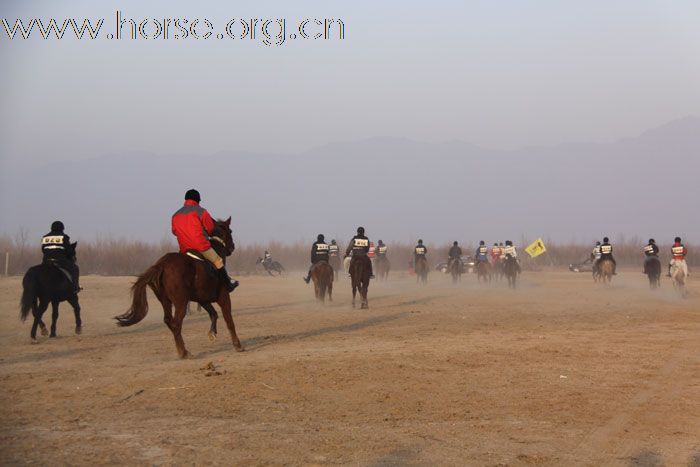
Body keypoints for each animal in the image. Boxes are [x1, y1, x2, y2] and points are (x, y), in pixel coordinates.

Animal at [116, 218, 242, 358]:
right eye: (230, 231)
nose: (232, 247)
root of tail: (162, 264)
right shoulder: (223, 298)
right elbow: (229, 321)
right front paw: (237, 345)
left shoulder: (202, 299)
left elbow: (213, 314)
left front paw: (212, 333)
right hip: (180, 302)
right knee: (176, 323)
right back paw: (184, 352)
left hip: (165, 301)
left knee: (168, 321)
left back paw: (183, 349)